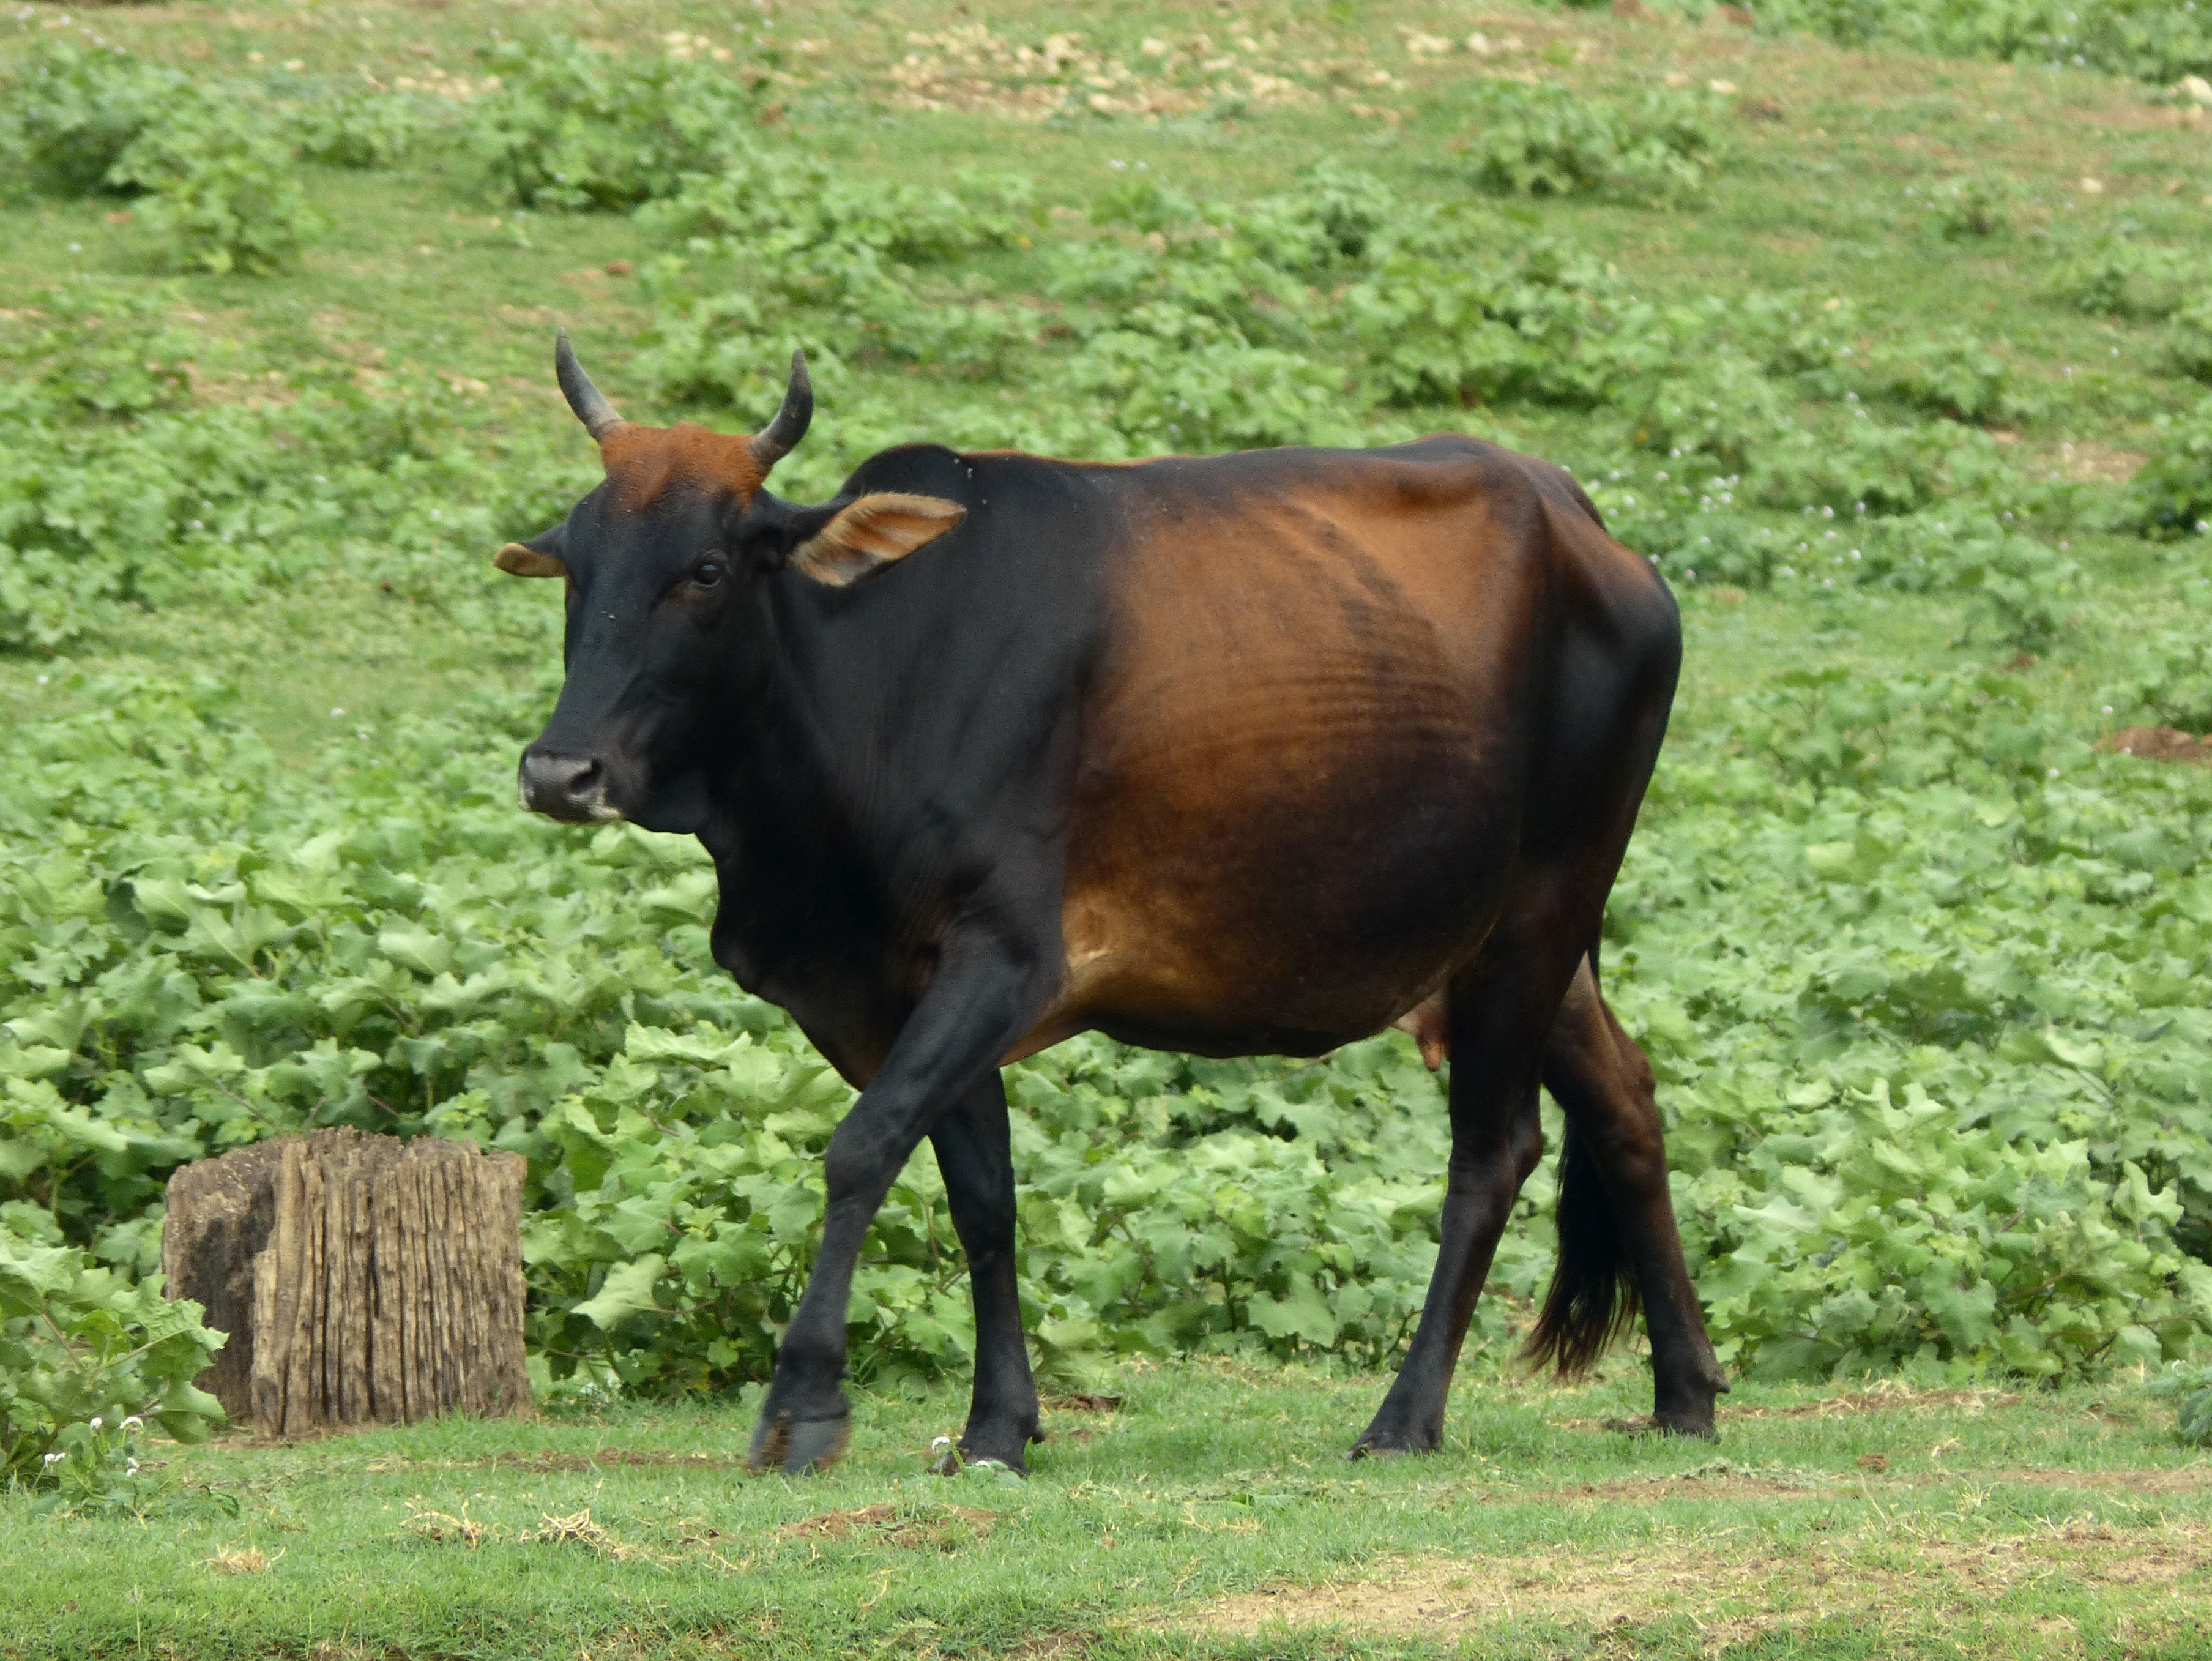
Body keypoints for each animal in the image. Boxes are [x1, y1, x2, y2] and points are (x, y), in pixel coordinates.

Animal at [502, 332, 1725, 1477]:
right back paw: (1684, 1393)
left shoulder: (1004, 957)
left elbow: (861, 1147)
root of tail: (1584, 522)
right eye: (572, 563)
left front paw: (804, 1401)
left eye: (707, 568)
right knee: (1626, 1099)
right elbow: (982, 1196)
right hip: (1519, 943)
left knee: (1493, 1149)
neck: (876, 683)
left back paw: (1404, 1416)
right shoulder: (904, 984)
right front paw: (998, 1425)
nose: (561, 771)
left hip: (1536, 915)